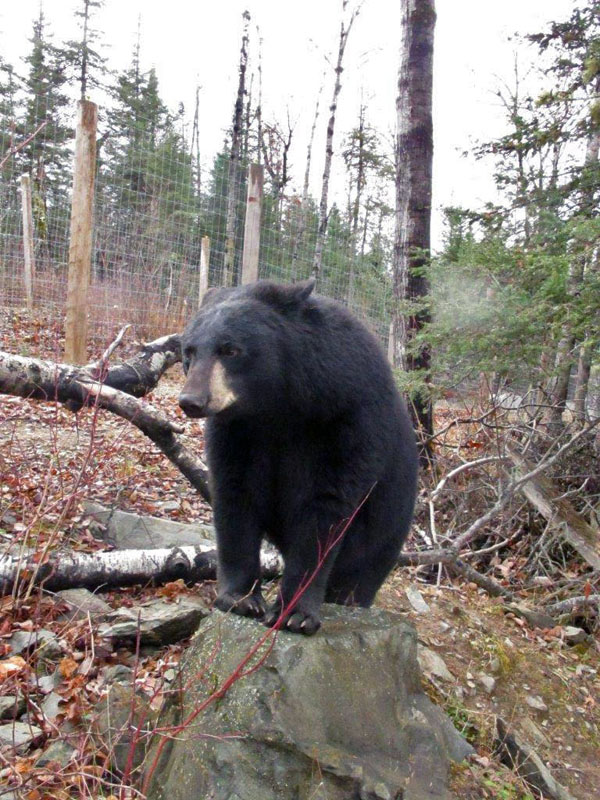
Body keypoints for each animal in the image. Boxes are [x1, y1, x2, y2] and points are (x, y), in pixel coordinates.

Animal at [178, 279, 418, 635]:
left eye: (230, 350)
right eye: (189, 351)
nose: (191, 400)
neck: (279, 405)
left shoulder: (347, 416)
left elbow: (326, 508)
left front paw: (294, 613)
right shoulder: (236, 430)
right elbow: (235, 495)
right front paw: (240, 597)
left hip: (388, 528)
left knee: (360, 573)